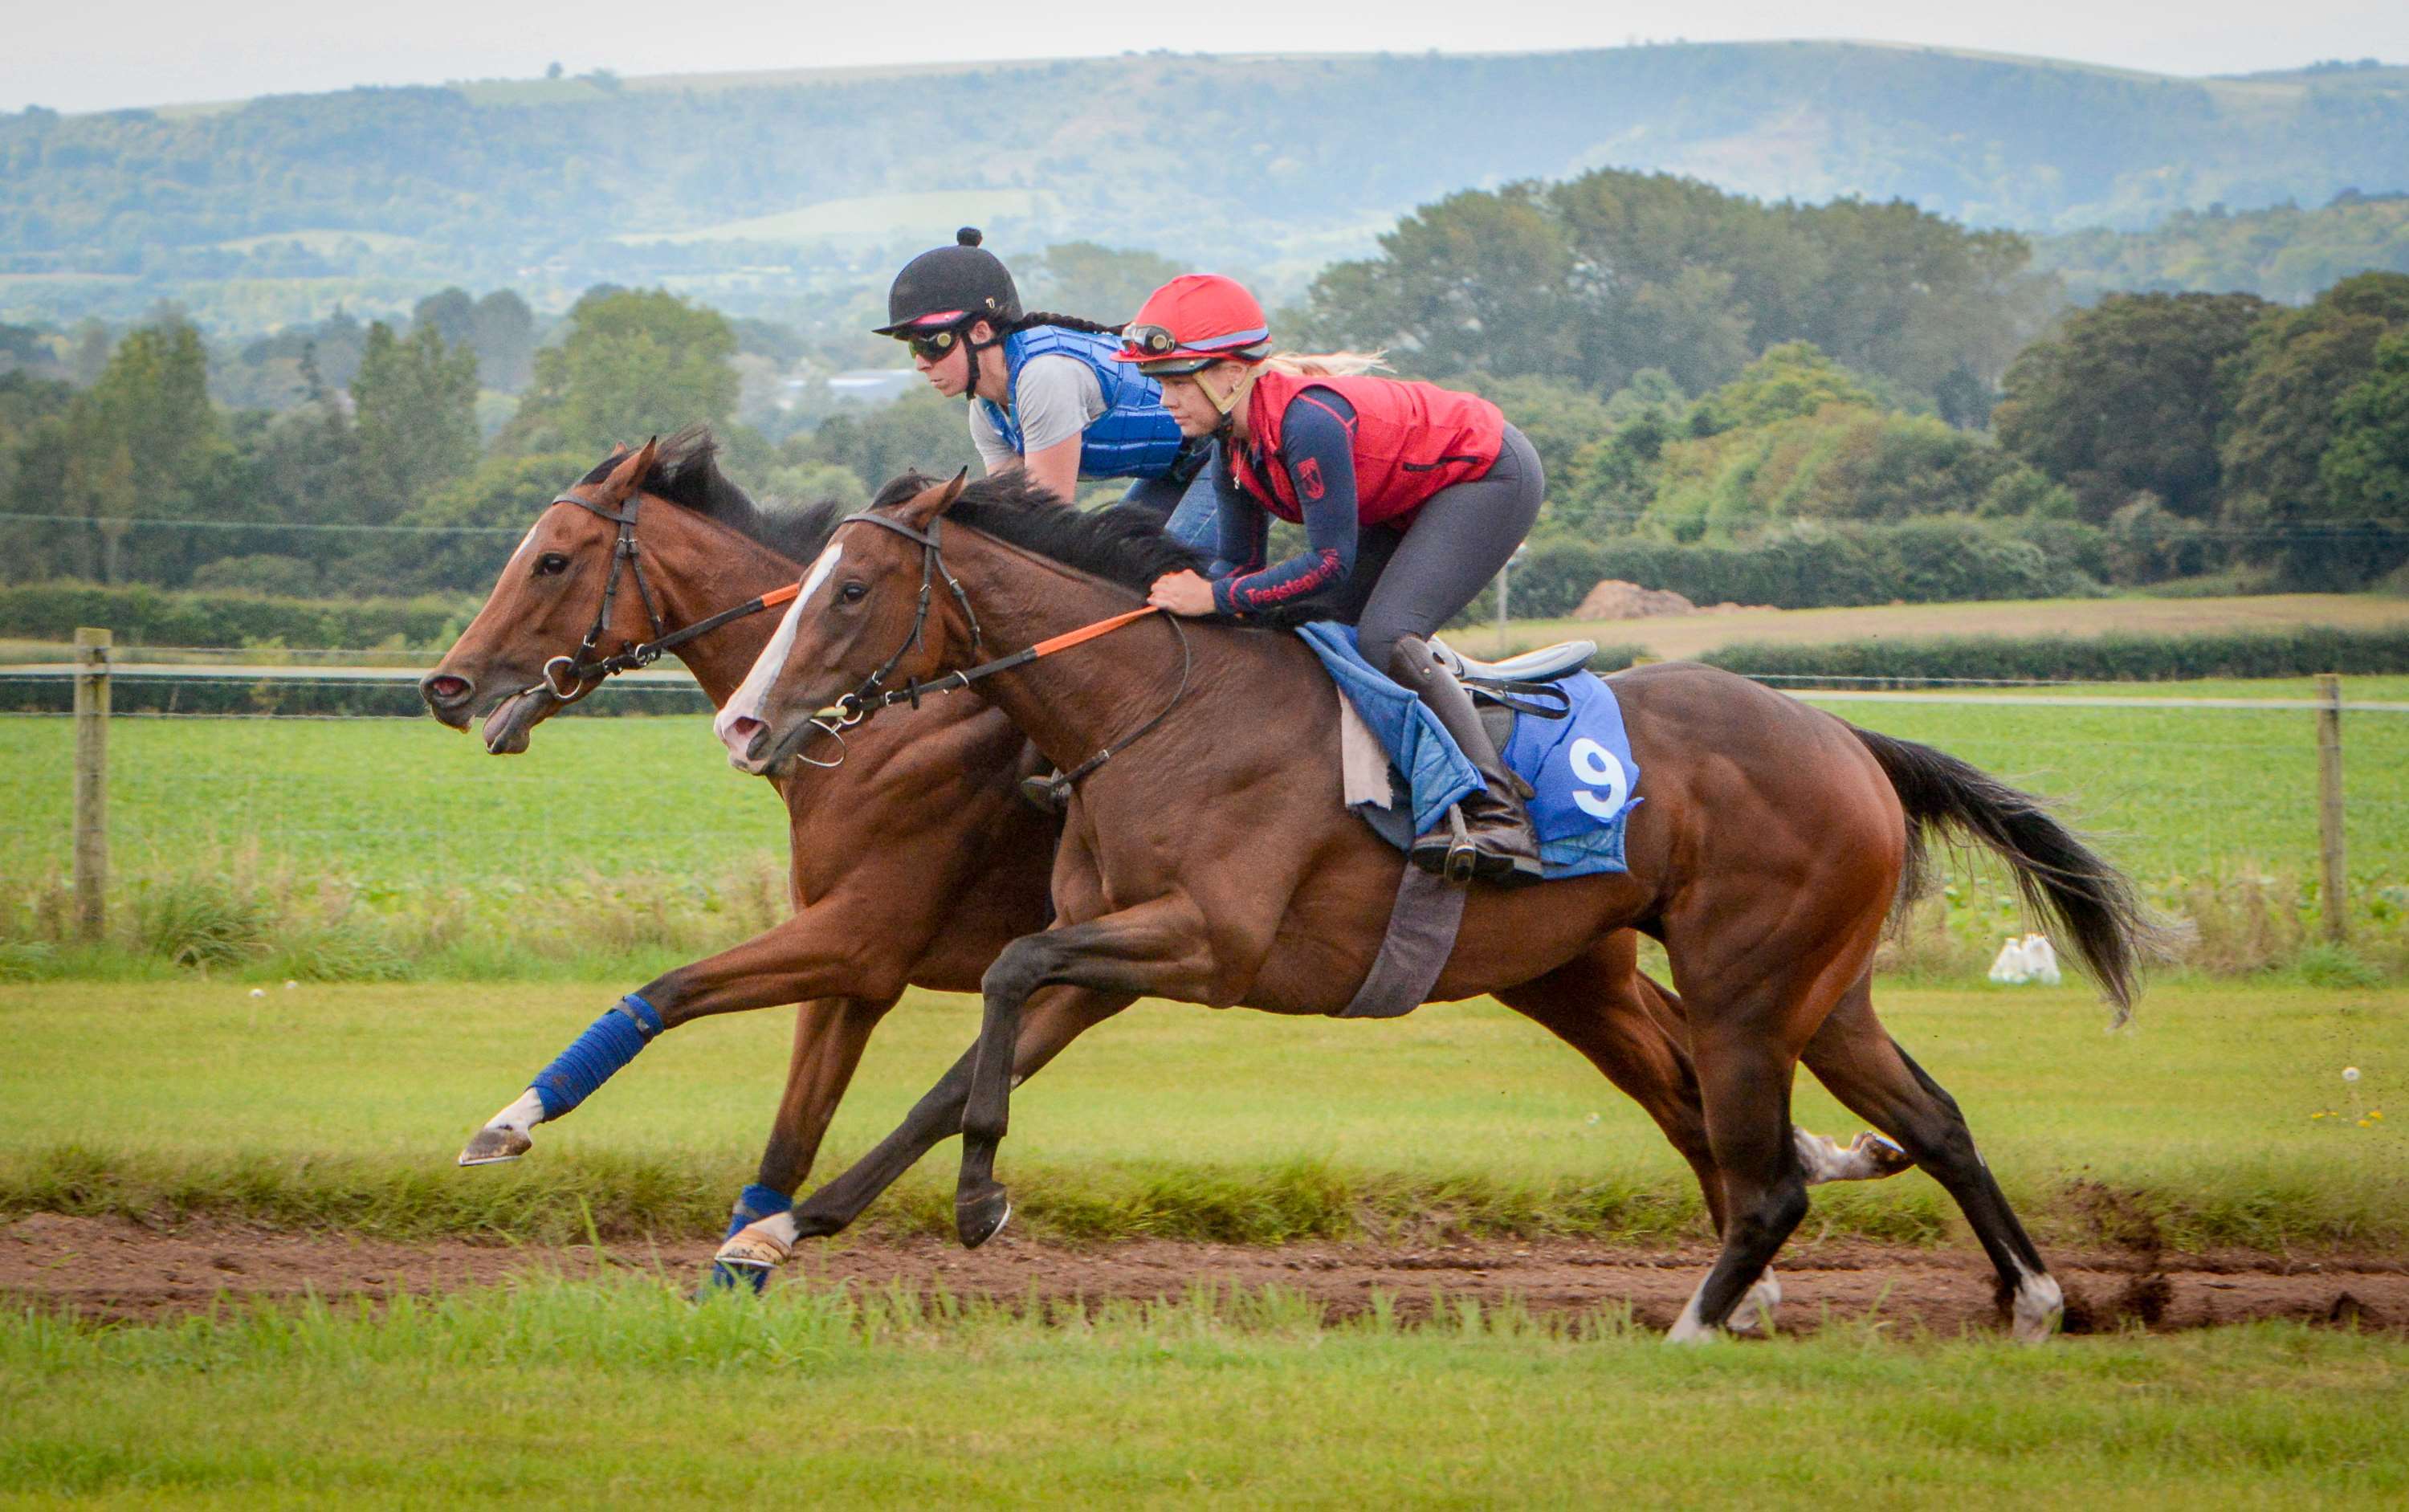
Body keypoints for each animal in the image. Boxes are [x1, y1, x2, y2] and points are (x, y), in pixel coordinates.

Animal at [424, 426, 1898, 1310]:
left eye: (551, 558)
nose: (445, 684)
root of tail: (1835, 734)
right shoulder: (871, 964)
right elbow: (817, 1111)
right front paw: (751, 1248)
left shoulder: (886, 936)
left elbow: (673, 991)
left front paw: (509, 1120)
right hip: (1563, 964)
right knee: (1683, 1073)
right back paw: (1790, 1216)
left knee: (1700, 1070)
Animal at [723, 474, 2158, 1348]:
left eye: (849, 589)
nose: (743, 720)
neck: (1157, 704)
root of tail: (1848, 736)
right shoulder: (1112, 958)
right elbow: (961, 1065)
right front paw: (793, 1222)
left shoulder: (1203, 941)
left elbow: (1006, 974)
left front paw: (968, 1204)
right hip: (1817, 987)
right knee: (1931, 1117)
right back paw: (2033, 1297)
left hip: (1748, 985)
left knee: (1764, 1172)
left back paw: (1703, 1319)